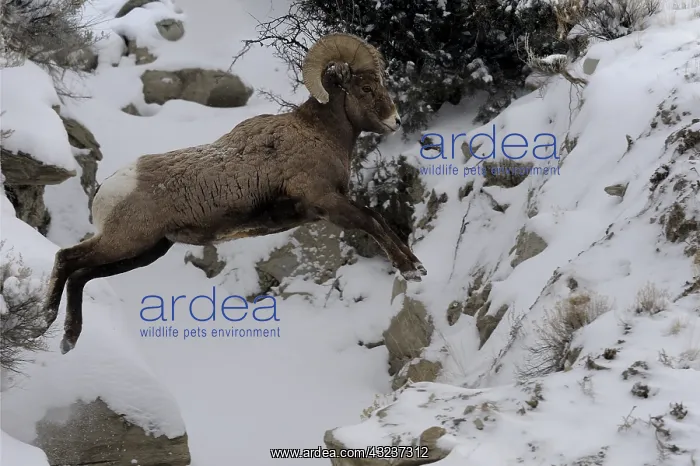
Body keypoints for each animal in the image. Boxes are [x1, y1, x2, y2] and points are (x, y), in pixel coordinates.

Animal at [44, 33, 428, 354]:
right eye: (365, 88)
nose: (394, 121)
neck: (319, 133)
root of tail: (107, 188)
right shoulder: (326, 203)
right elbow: (371, 221)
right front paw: (411, 270)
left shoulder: (330, 205)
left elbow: (375, 218)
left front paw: (417, 266)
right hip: (125, 242)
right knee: (67, 258)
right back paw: (48, 320)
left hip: (145, 252)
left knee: (81, 275)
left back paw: (67, 339)